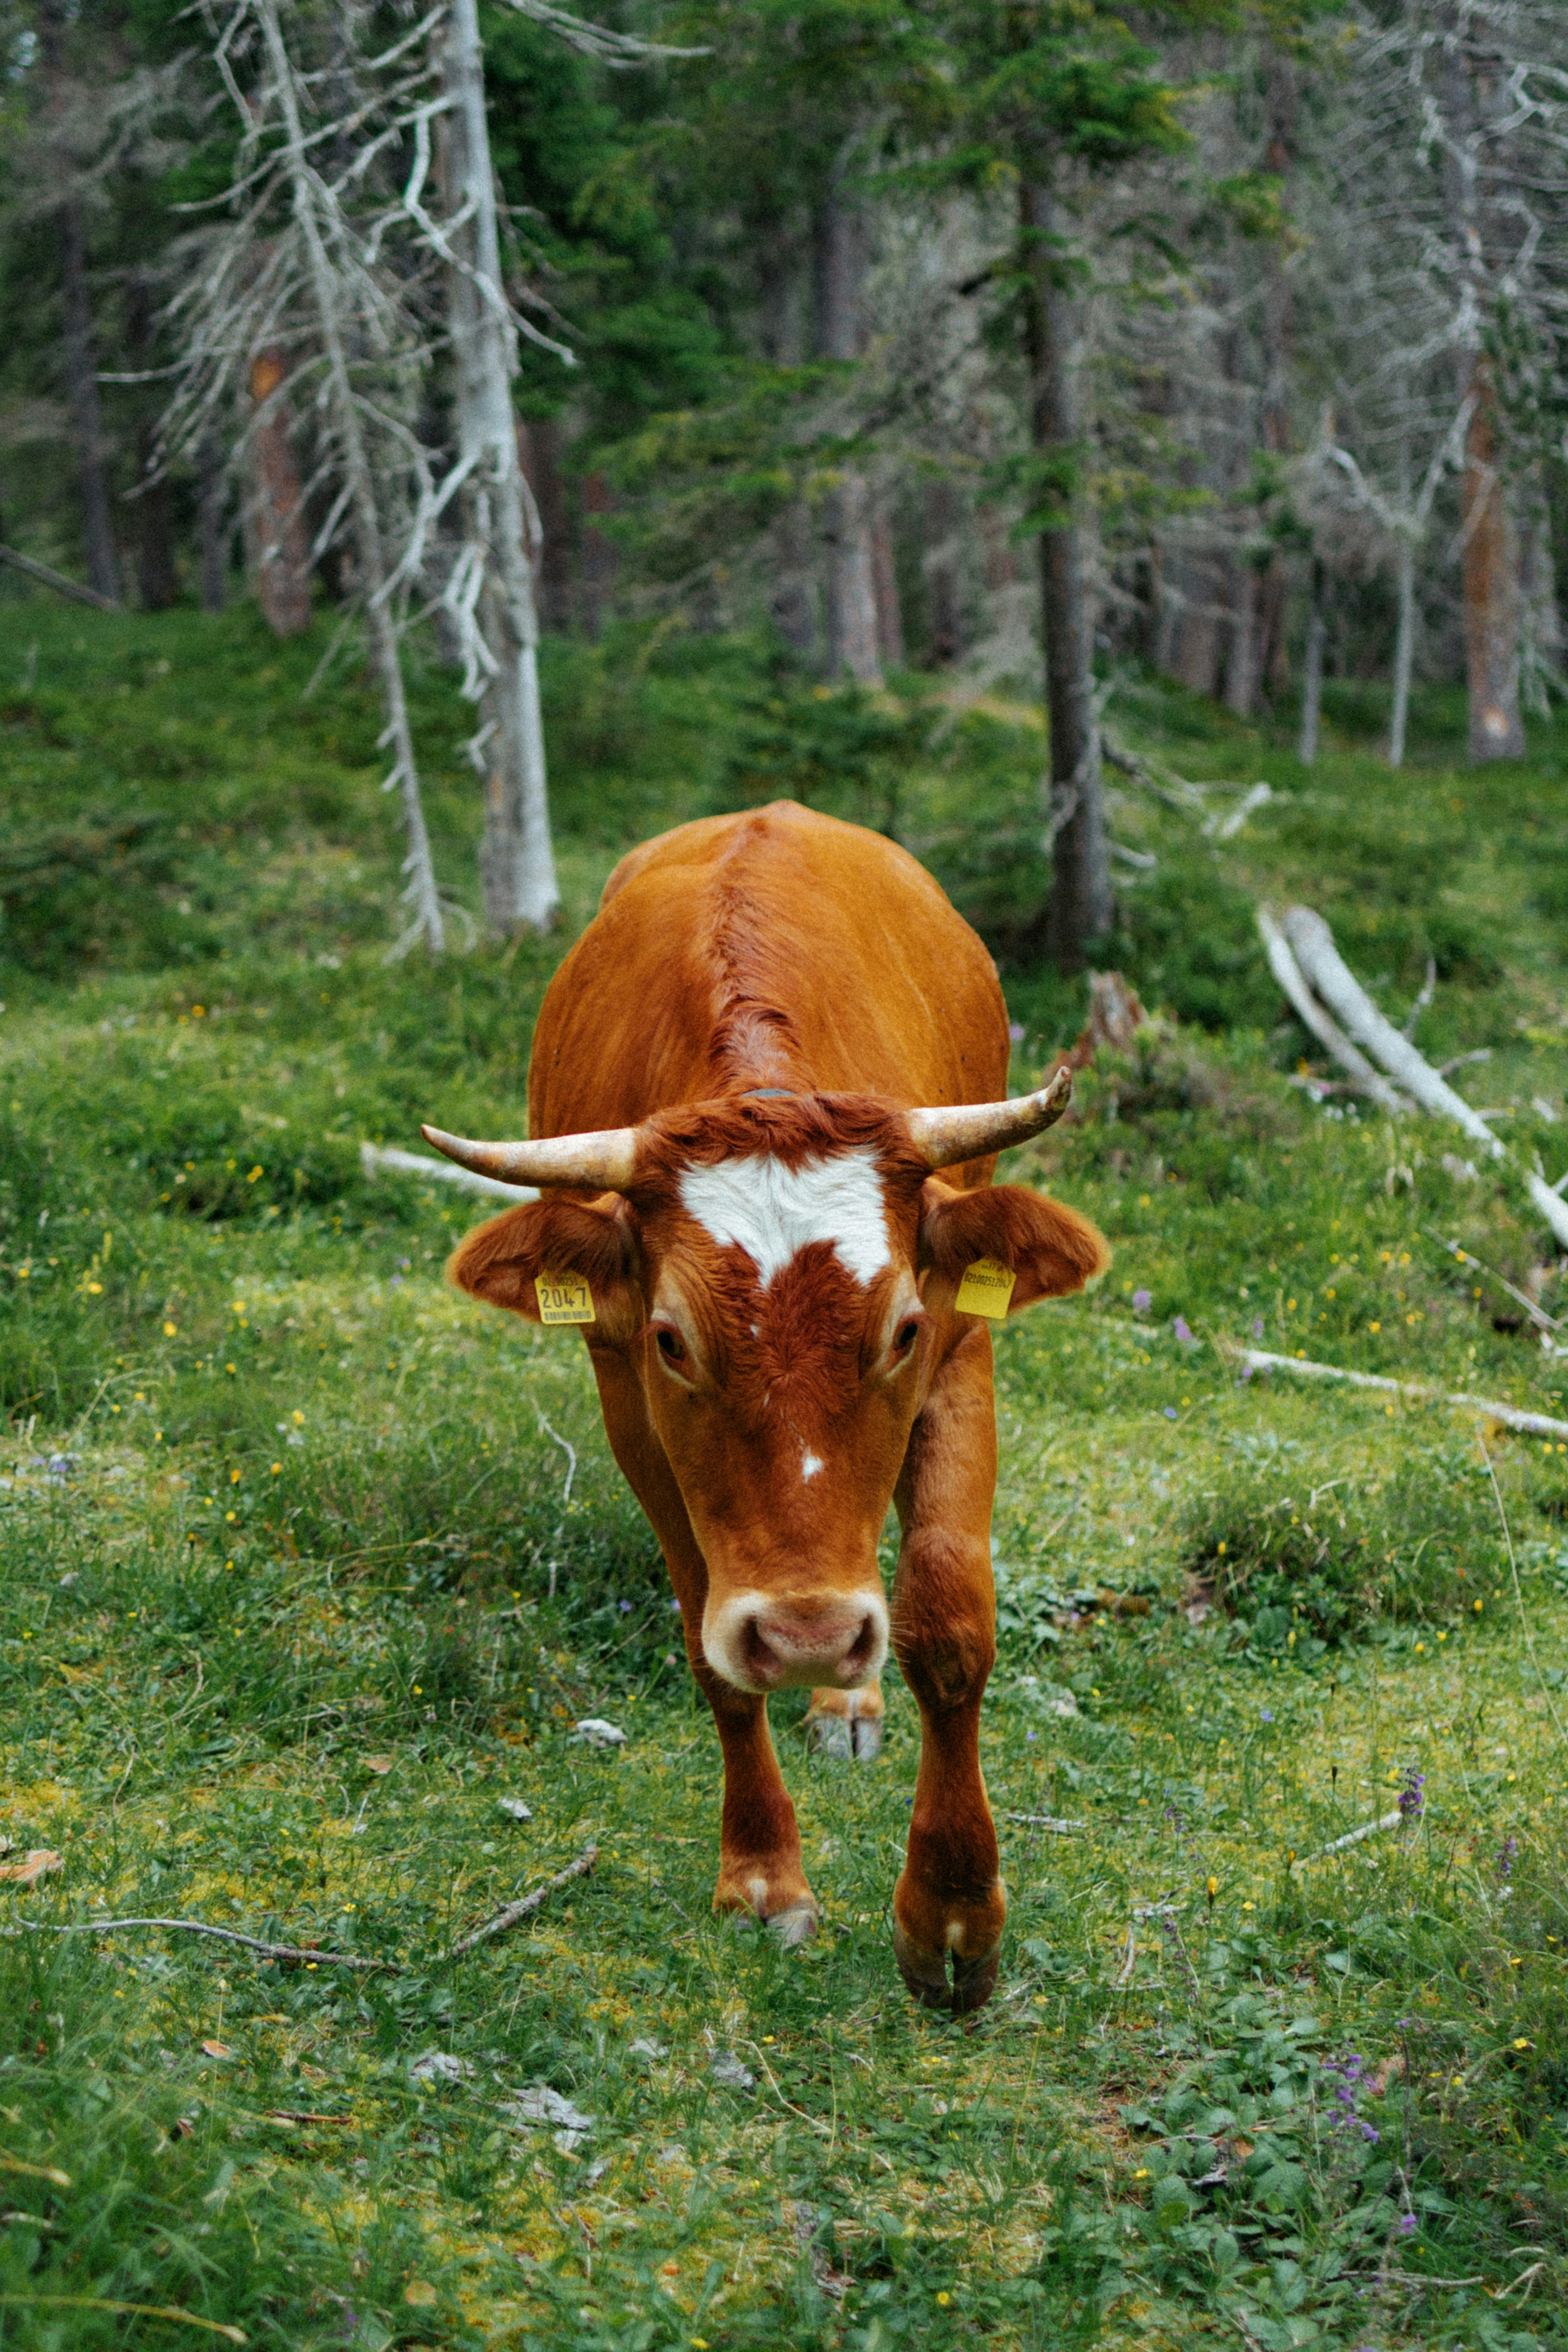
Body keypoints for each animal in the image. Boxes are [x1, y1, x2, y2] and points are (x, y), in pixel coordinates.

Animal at [424, 802, 1107, 2012]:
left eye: (900, 1328)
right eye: (671, 1338)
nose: (808, 1634)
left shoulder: (965, 1343)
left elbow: (946, 1620)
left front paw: (951, 1916)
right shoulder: (627, 1400)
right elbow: (711, 1646)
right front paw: (761, 1874)